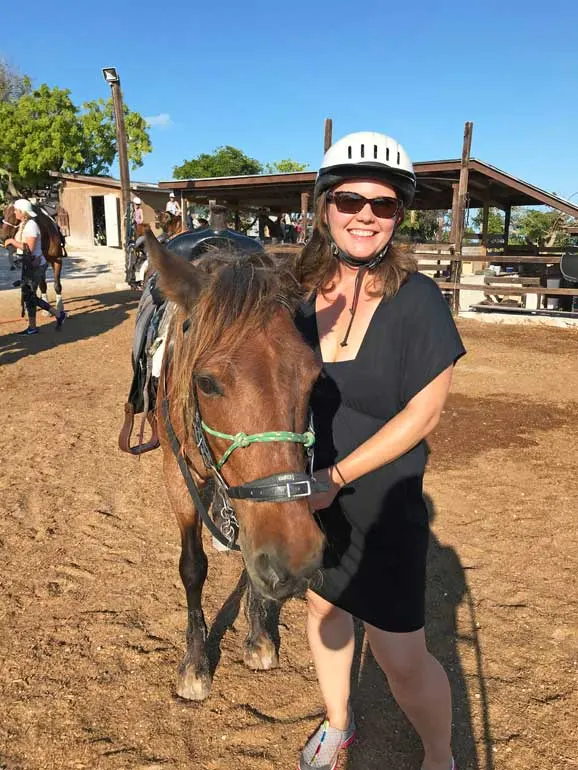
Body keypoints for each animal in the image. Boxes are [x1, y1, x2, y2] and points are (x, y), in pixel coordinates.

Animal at [144, 231, 324, 700]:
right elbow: (192, 568)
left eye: (315, 377)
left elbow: (249, 556)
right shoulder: (177, 475)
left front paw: (259, 635)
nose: (298, 558)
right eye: (206, 383)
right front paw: (194, 662)